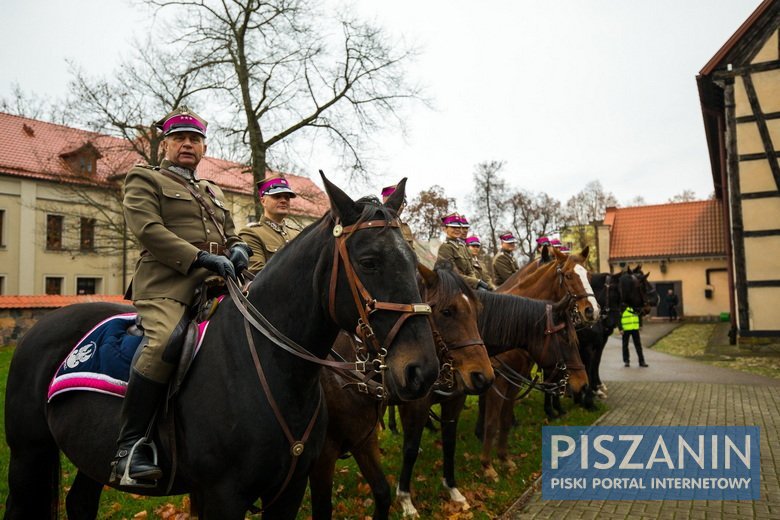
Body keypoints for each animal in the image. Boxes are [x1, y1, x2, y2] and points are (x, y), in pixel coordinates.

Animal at [4, 176, 444, 520]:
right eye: (369, 261)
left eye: (413, 262)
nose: (422, 369)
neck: (271, 366)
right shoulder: (223, 496)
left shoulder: (288, 493)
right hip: (28, 454)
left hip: (88, 456)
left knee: (80, 502)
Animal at [306, 266, 494, 516]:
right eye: (447, 312)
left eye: (477, 311)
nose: (483, 377)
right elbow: (410, 449)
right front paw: (406, 499)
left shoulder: (453, 401)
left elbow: (449, 443)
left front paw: (453, 489)